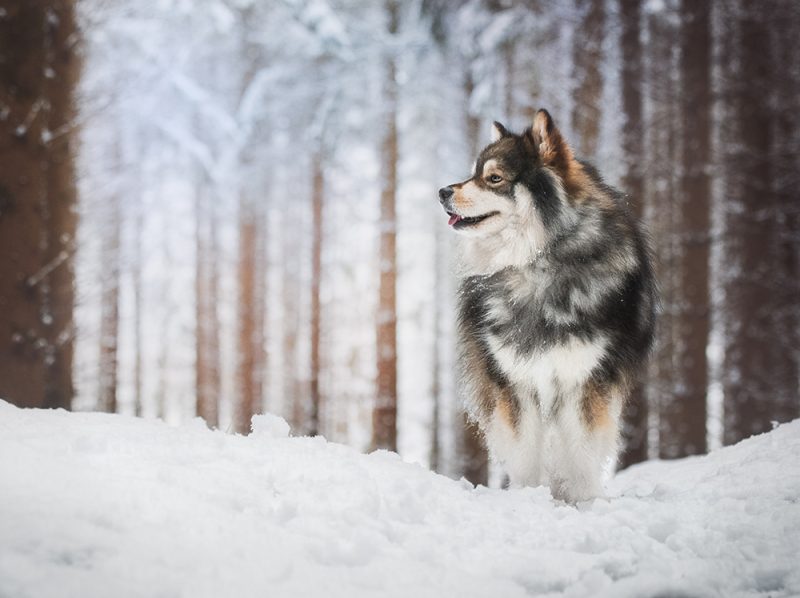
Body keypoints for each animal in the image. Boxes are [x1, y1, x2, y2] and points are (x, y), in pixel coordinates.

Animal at [438, 110, 656, 504]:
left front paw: (586, 504)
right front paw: (528, 498)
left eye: (494, 178)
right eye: (474, 172)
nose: (442, 192)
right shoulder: (515, 382)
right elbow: (525, 453)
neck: (538, 262)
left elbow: (582, 454)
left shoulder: (584, 381)